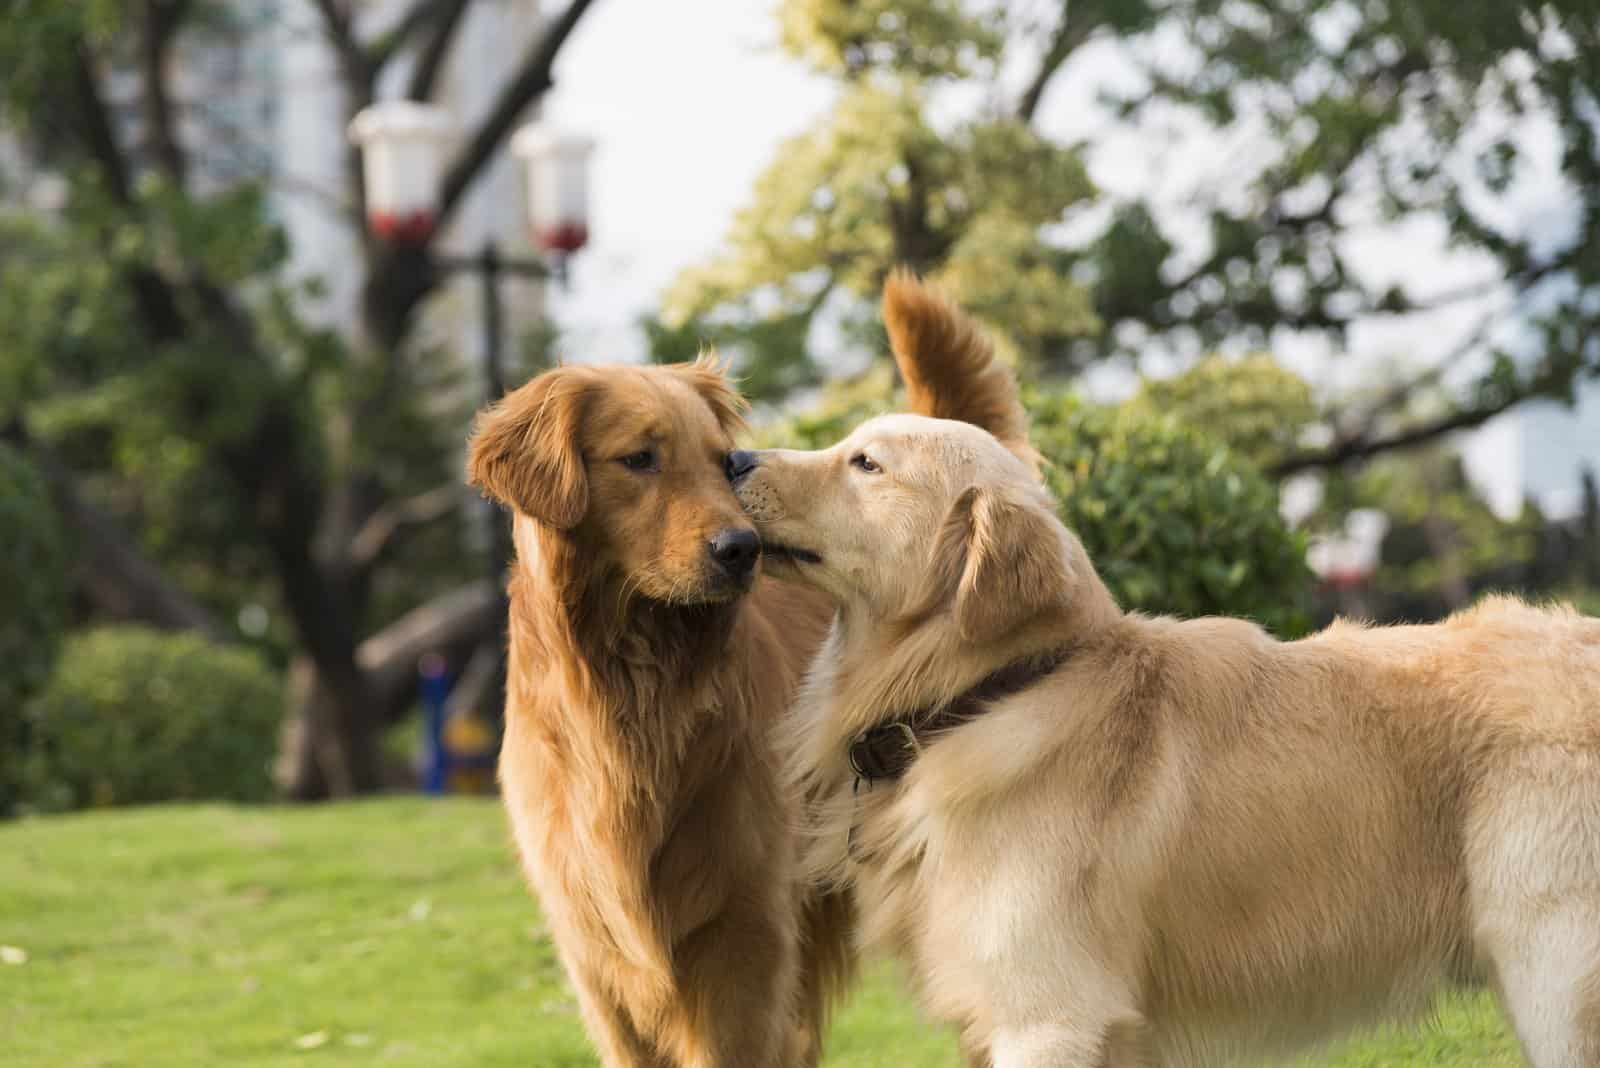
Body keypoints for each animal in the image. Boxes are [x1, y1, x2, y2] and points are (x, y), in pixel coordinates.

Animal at [464, 271, 1017, 1061]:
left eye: (723, 459)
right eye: (641, 459)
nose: (742, 549)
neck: (637, 697)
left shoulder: (744, 943)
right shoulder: (599, 962)